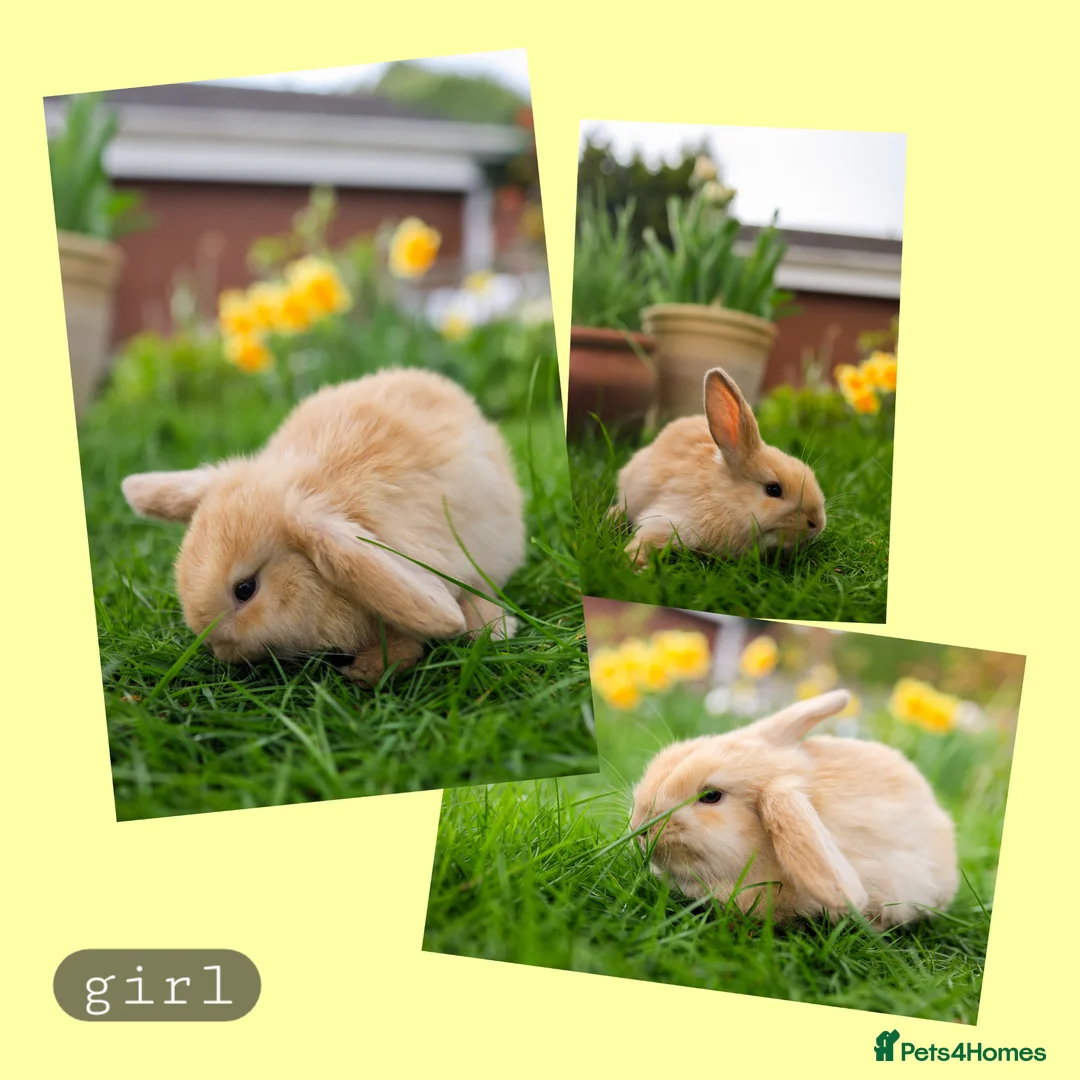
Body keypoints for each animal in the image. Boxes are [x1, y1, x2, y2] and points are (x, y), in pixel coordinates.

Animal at [612, 367, 826, 568]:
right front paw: (631, 564)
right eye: (773, 490)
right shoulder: (666, 520)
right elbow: (645, 540)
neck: (723, 499)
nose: (817, 524)